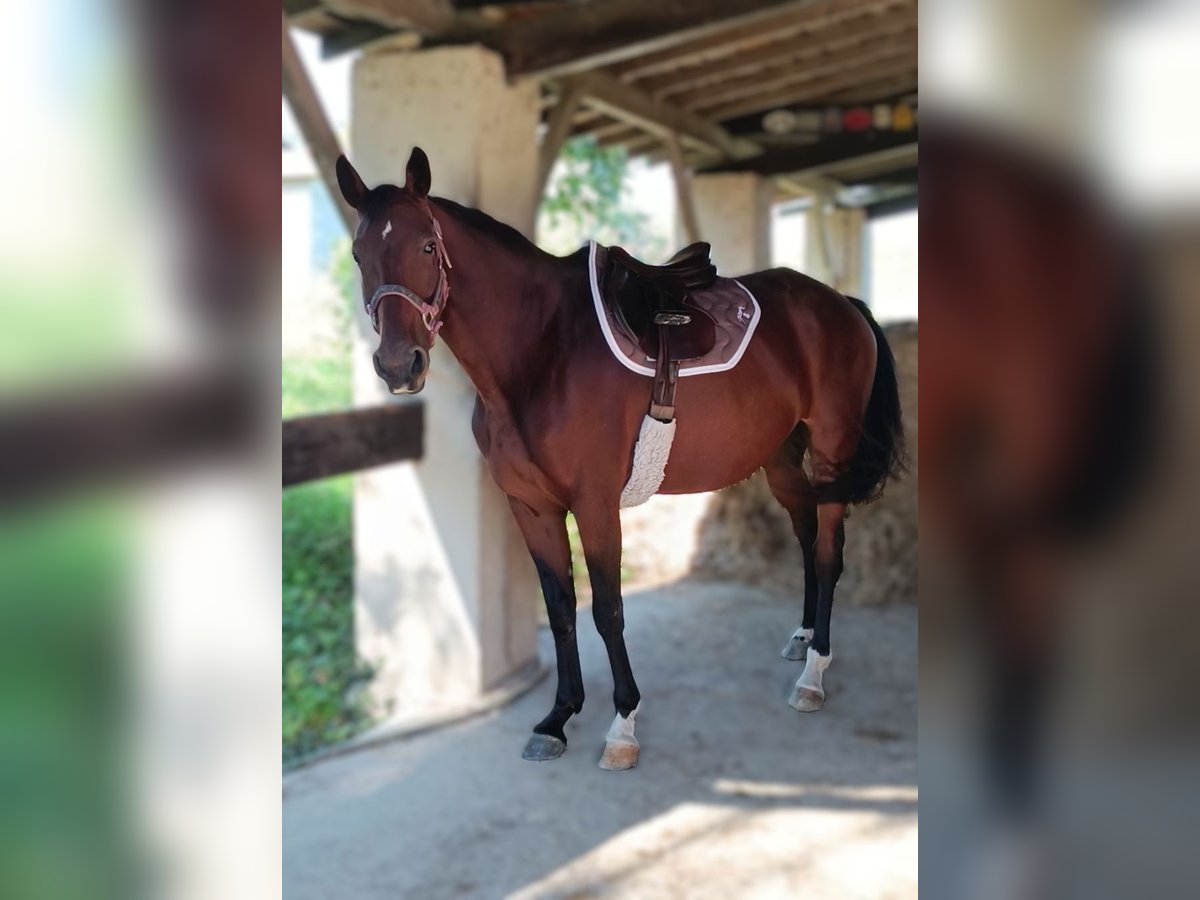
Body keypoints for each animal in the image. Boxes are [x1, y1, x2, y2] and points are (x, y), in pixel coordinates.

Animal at [336, 151, 902, 772]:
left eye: (427, 247)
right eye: (359, 254)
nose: (399, 366)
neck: (542, 349)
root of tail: (841, 304)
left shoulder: (595, 504)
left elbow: (607, 609)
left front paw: (623, 724)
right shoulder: (530, 506)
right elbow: (560, 606)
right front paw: (558, 718)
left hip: (831, 452)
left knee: (828, 554)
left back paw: (814, 673)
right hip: (782, 458)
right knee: (805, 538)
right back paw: (801, 640)